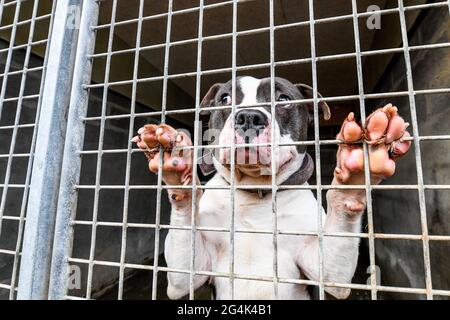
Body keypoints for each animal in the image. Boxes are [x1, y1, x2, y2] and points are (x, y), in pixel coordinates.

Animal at [131, 75, 412, 300]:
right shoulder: (186, 276)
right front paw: (177, 167)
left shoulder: (329, 273)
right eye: (225, 98)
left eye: (284, 99)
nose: (249, 117)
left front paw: (355, 172)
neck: (255, 191)